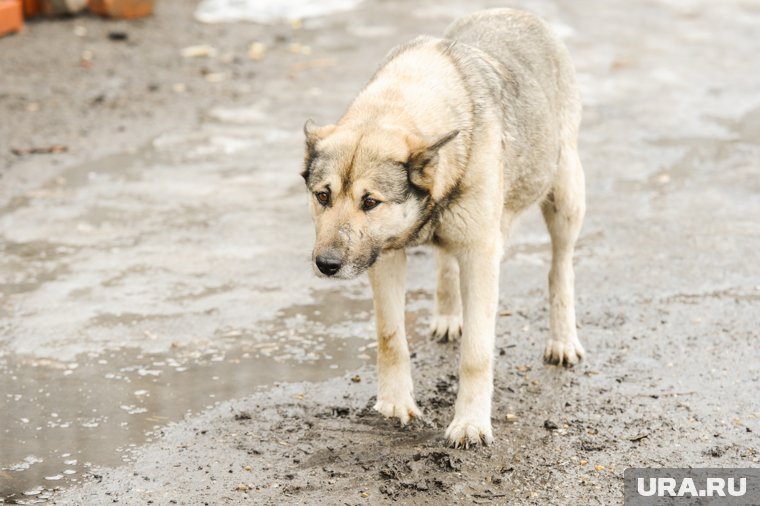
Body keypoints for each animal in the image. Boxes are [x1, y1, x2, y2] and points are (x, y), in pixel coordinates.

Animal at [300, 7, 584, 446]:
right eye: (323, 196)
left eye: (370, 202)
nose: (326, 265)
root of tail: (514, 10)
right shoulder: (385, 258)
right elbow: (391, 338)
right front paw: (394, 404)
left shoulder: (482, 255)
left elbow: (476, 355)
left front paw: (470, 424)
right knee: (446, 263)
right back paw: (450, 316)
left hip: (565, 198)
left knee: (560, 269)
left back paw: (563, 340)